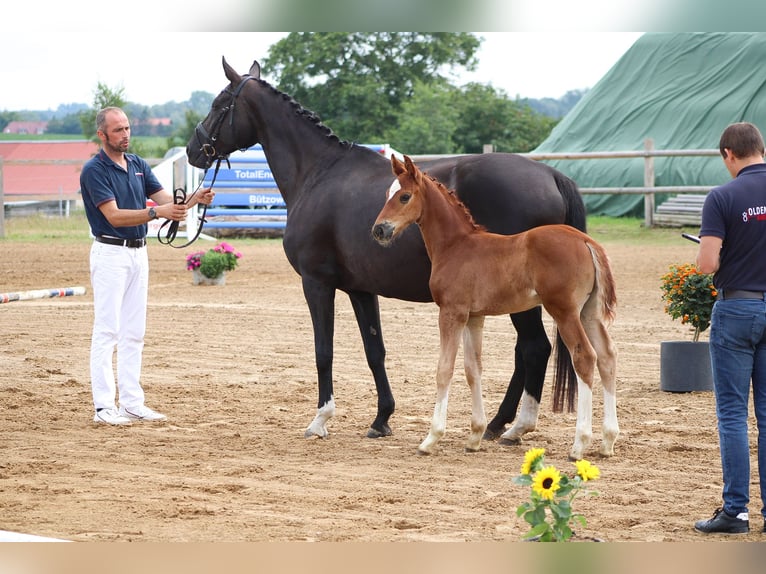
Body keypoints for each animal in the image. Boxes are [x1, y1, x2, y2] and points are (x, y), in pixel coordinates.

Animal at [188, 58, 588, 444]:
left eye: (219, 104)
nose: (194, 150)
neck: (318, 173)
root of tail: (551, 176)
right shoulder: (361, 289)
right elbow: (374, 351)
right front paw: (381, 419)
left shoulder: (316, 283)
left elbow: (323, 351)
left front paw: (320, 420)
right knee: (526, 352)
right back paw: (497, 424)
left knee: (534, 349)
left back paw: (514, 426)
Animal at [376, 155, 620, 462]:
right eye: (388, 193)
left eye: (405, 196)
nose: (379, 229)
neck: (456, 245)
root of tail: (586, 241)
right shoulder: (474, 317)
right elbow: (473, 369)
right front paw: (474, 437)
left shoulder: (451, 312)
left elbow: (444, 369)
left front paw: (431, 439)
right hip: (588, 312)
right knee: (607, 356)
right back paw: (607, 441)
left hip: (564, 311)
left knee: (585, 357)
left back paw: (579, 445)